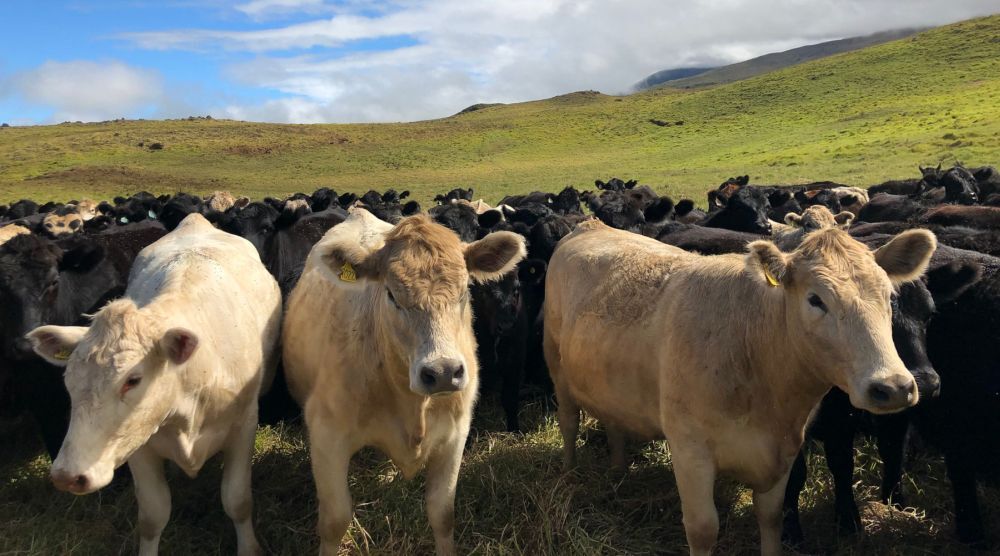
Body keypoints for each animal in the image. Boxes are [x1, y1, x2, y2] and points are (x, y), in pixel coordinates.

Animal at [27, 213, 281, 555]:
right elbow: (153, 515)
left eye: (132, 380)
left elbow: (237, 500)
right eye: (69, 381)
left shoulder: (244, 426)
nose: (67, 476)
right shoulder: (137, 443)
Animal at [282, 209, 526, 555]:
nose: (443, 371)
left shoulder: (454, 435)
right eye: (391, 295)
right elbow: (334, 522)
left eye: (465, 291)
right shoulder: (327, 438)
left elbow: (442, 514)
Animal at [544, 219, 934, 555]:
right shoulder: (690, 449)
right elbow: (703, 528)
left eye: (889, 296)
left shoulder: (785, 449)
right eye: (815, 299)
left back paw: (618, 469)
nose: (893, 386)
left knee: (614, 421)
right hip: (556, 367)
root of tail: (589, 224)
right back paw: (568, 474)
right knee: (569, 422)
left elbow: (772, 518)